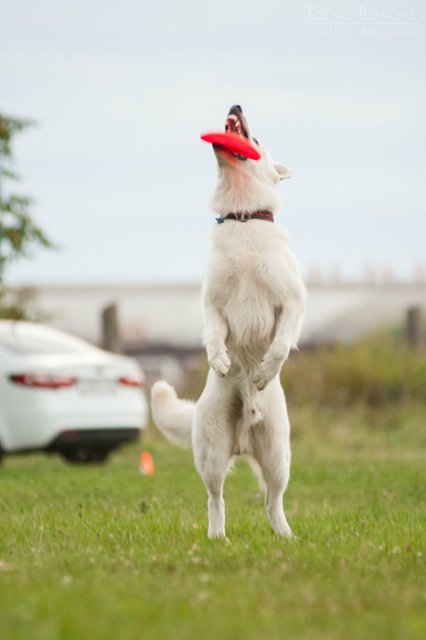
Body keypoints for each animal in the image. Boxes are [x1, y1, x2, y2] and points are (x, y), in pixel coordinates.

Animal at [151, 107, 304, 536]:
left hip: (278, 456)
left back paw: (287, 536)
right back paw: (217, 536)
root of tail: (243, 439)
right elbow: (214, 335)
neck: (244, 217)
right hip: (212, 453)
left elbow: (280, 344)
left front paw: (265, 371)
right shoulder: (214, 307)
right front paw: (220, 360)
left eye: (258, 139)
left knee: (273, 501)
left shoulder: (291, 303)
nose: (235, 106)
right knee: (215, 499)